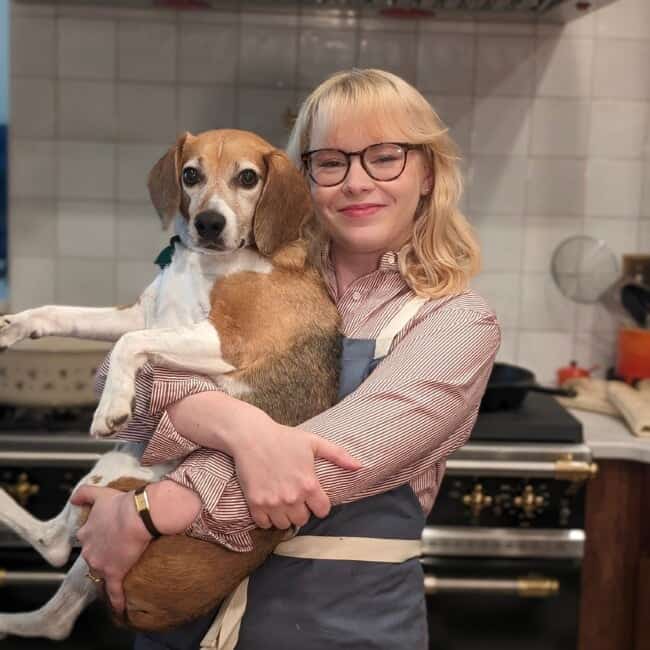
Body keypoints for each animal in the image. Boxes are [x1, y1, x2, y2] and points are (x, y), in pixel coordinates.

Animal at [0, 128, 342, 636]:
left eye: (248, 177)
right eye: (190, 174)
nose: (208, 223)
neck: (200, 263)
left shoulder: (226, 340)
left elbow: (130, 344)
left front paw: (111, 404)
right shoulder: (141, 313)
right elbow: (61, 313)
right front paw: (14, 326)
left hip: (116, 474)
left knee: (55, 545)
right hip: (118, 464)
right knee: (54, 611)